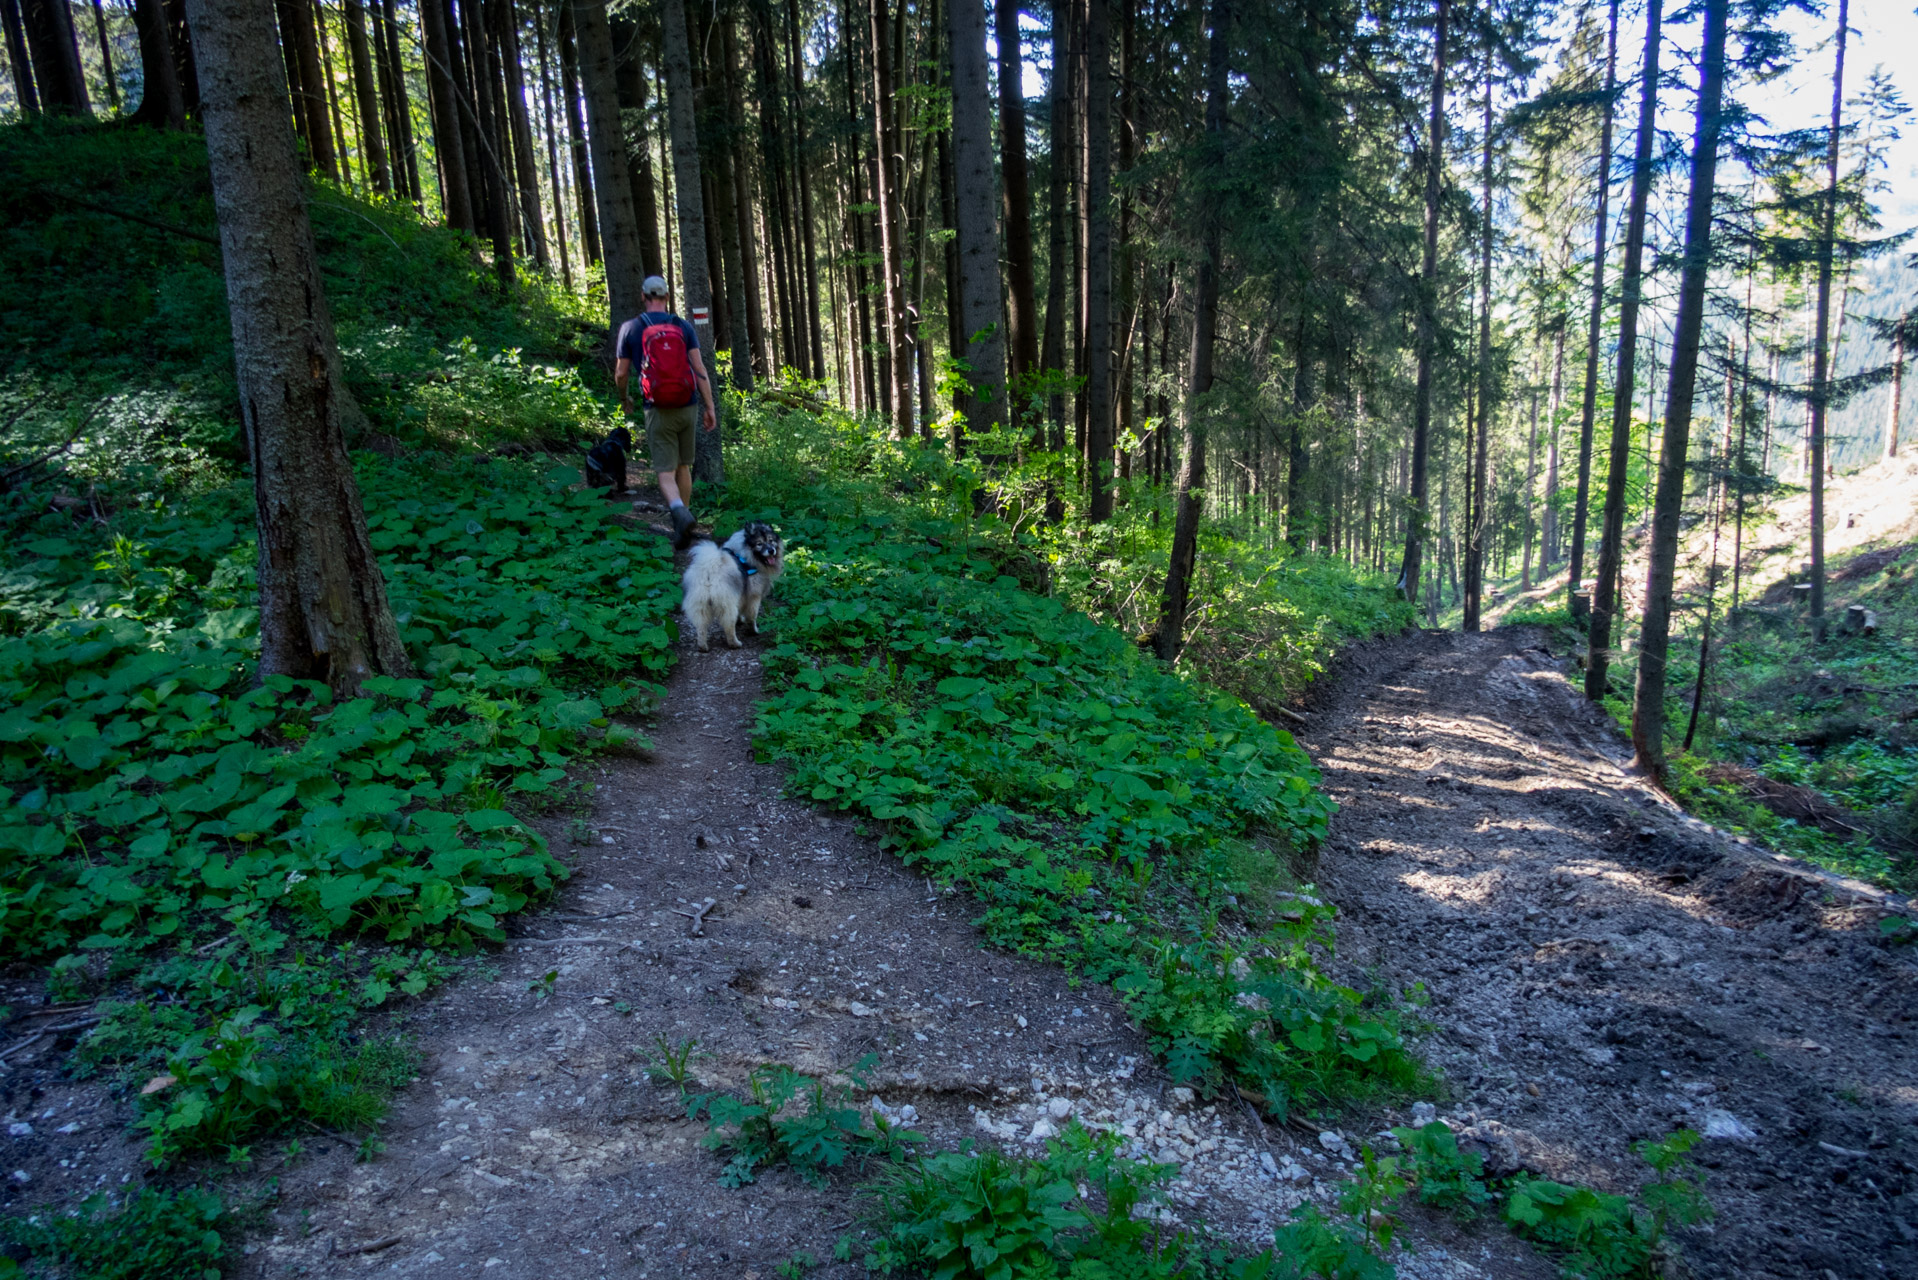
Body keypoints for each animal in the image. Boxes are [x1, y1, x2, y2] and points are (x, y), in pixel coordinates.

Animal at [682, 521, 786, 652]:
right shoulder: (754, 597)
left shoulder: (741, 595)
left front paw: (740, 620)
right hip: (727, 605)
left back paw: (703, 646)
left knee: (701, 628)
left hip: (700, 606)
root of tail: (709, 570)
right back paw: (735, 643)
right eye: (759, 544)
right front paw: (754, 630)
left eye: (771, 540)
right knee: (729, 627)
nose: (771, 550)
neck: (746, 555)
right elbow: (752, 616)